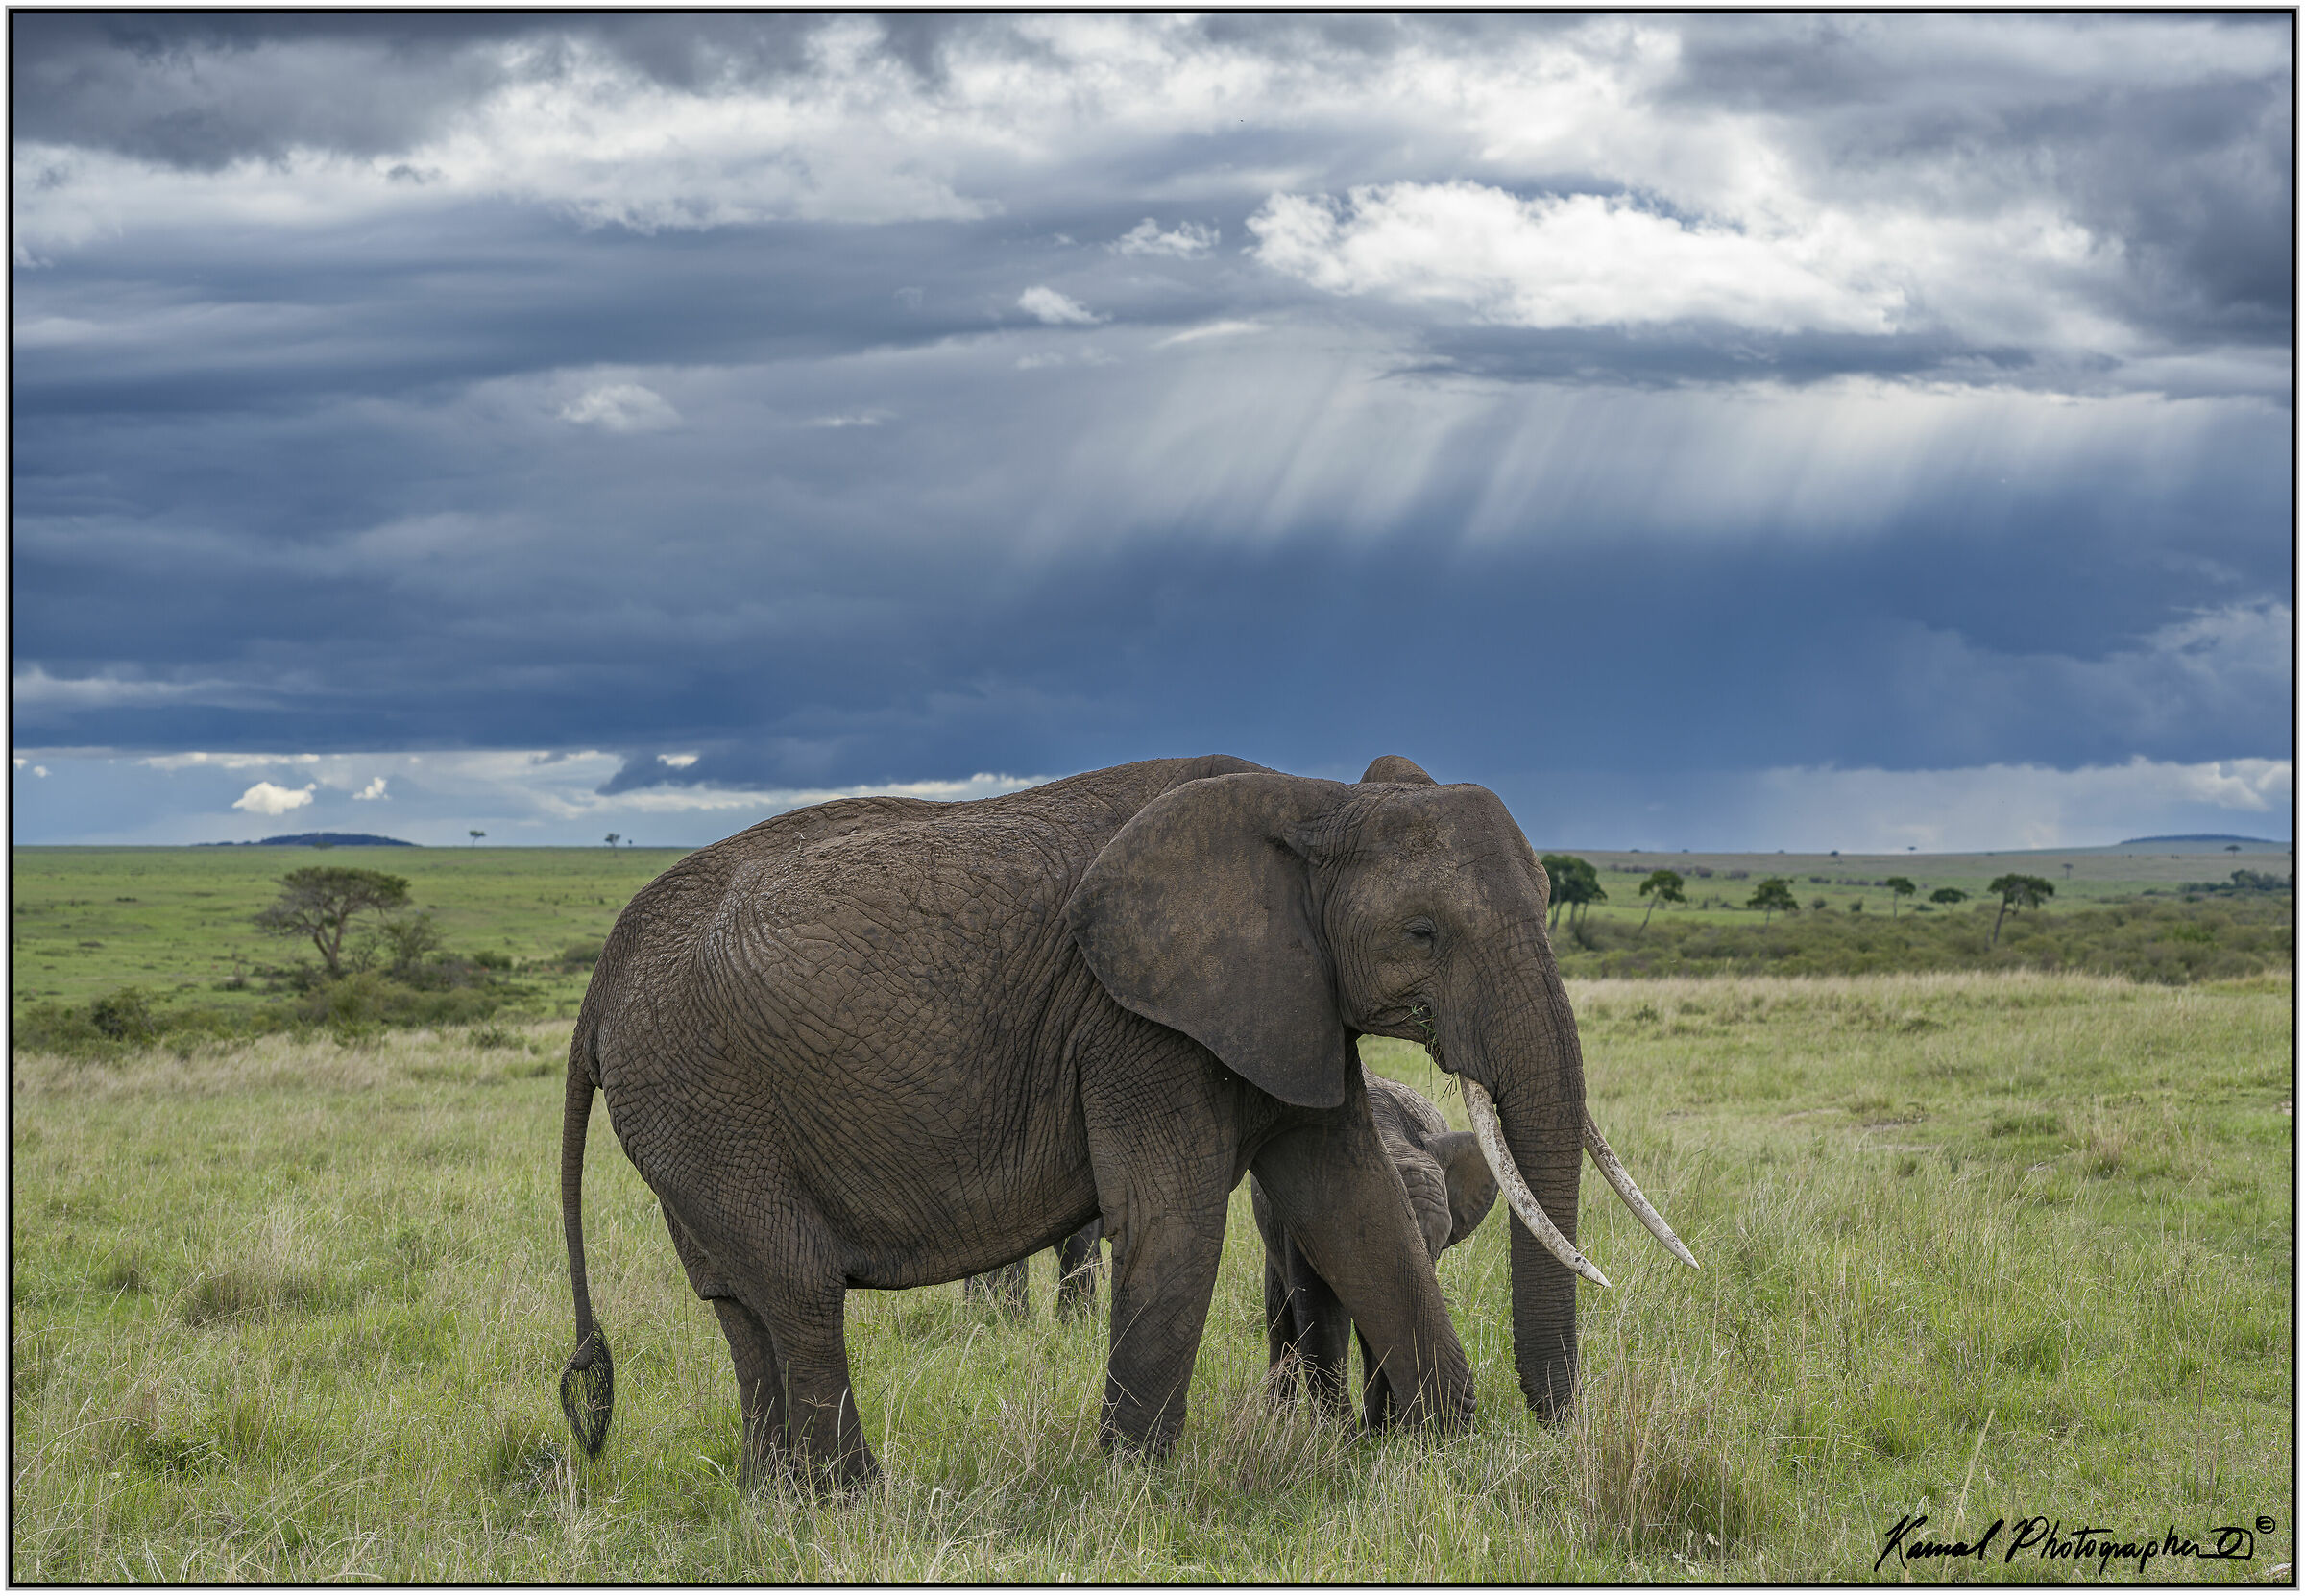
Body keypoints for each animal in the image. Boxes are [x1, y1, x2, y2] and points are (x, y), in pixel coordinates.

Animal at [1254, 1068, 1496, 1423]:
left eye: (1437, 1247)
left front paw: (1379, 1431)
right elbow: (1320, 1316)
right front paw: (1337, 1436)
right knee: (1280, 1320)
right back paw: (1275, 1420)